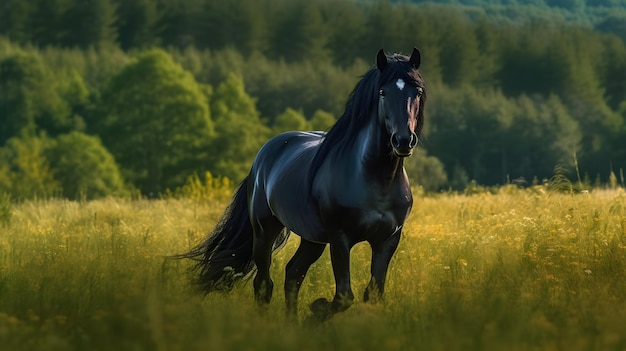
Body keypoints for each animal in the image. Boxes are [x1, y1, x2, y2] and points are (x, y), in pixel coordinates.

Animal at [179, 48, 424, 324]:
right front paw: (316, 310)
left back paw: (292, 324)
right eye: (383, 92)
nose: (403, 140)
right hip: (264, 231)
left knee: (293, 273)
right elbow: (343, 296)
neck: (375, 180)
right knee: (264, 284)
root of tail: (263, 155)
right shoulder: (340, 238)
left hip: (312, 239)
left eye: (418, 91)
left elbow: (372, 295)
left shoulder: (387, 240)